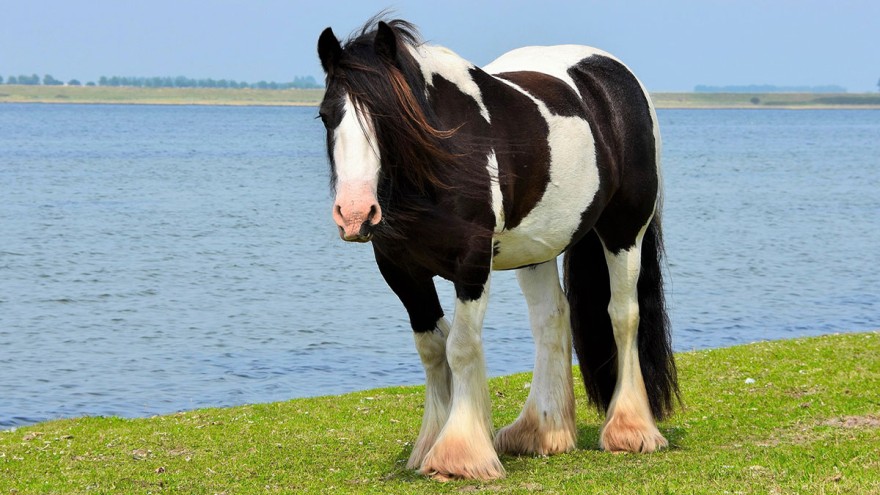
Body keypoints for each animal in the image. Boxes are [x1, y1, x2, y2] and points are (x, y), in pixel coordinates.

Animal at [316, 18, 680, 480]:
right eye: (326, 115)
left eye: (386, 116)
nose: (355, 213)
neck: (444, 156)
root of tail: (613, 76)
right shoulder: (401, 270)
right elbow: (432, 349)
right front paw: (431, 444)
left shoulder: (471, 264)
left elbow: (460, 347)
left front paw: (459, 454)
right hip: (538, 248)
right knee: (551, 319)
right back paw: (540, 432)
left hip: (624, 231)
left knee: (622, 315)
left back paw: (630, 430)